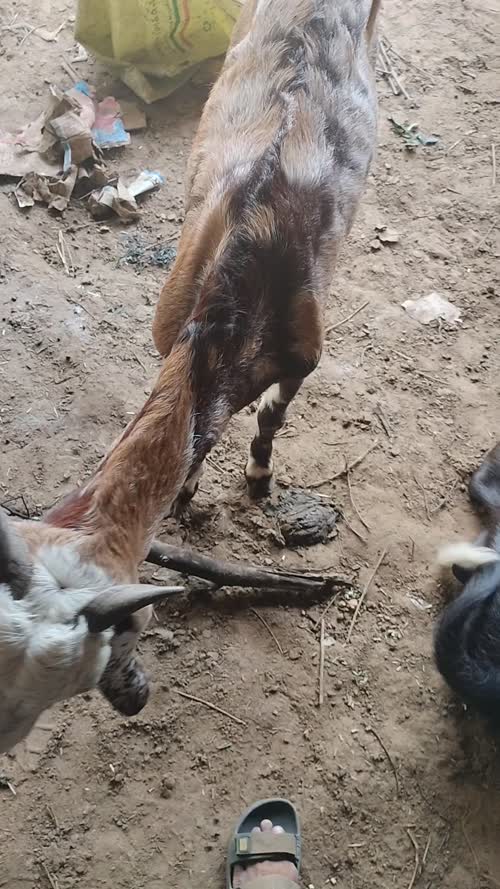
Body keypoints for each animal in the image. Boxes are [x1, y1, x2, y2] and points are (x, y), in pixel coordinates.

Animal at [0, 0, 380, 753]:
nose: (134, 699)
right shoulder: (170, 328)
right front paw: (188, 493)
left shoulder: (306, 350)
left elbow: (271, 417)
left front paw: (258, 480)